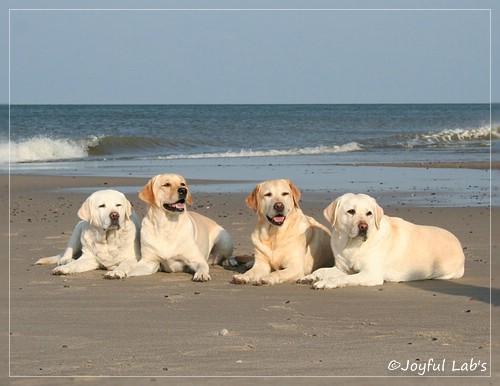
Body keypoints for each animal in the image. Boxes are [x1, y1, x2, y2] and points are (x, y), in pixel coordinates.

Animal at [296, 193, 464, 290]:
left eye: (369, 213)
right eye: (351, 211)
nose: (363, 227)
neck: (351, 245)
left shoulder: (371, 274)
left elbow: (344, 278)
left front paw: (327, 283)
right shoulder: (342, 268)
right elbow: (322, 270)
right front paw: (310, 277)